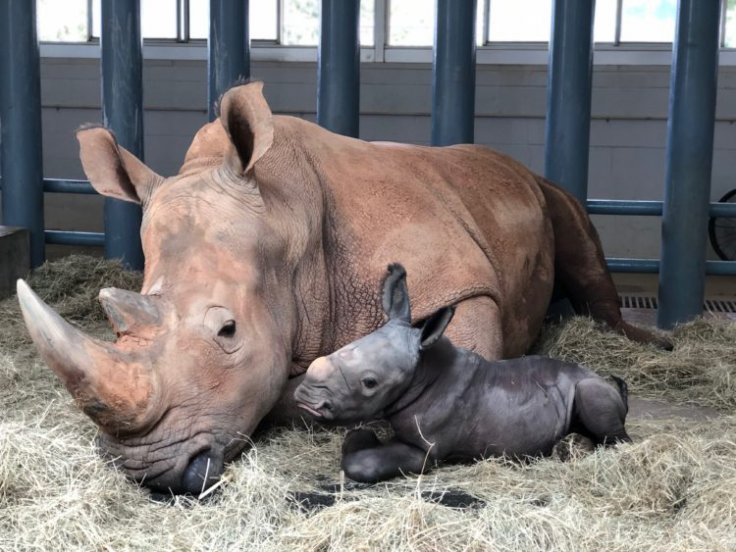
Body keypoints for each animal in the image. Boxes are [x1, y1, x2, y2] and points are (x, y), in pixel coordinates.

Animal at [294, 264, 632, 484]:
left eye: (370, 383)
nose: (304, 397)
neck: (422, 371)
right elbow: (356, 438)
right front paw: (365, 436)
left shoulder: (427, 450)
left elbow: (362, 463)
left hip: (589, 385)